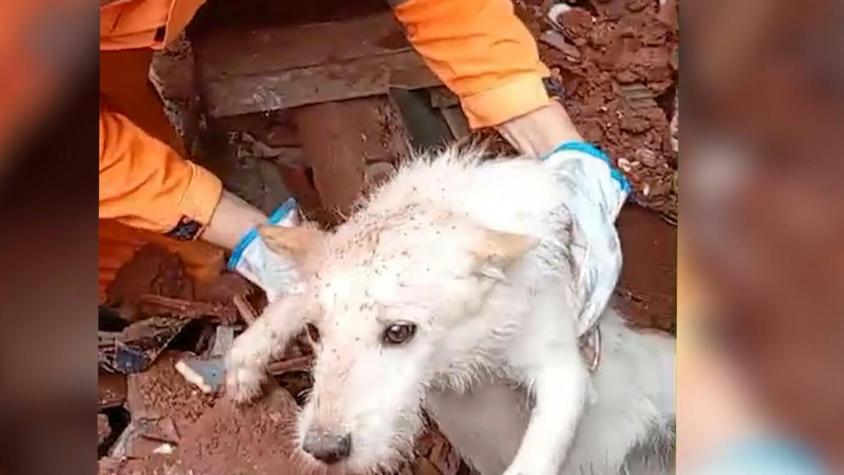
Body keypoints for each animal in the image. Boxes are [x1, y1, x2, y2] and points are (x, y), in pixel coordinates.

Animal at [226, 147, 676, 475]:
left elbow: (539, 451)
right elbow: (291, 301)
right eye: (317, 334)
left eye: (399, 332)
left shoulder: (562, 367)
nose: (324, 449)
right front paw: (245, 361)